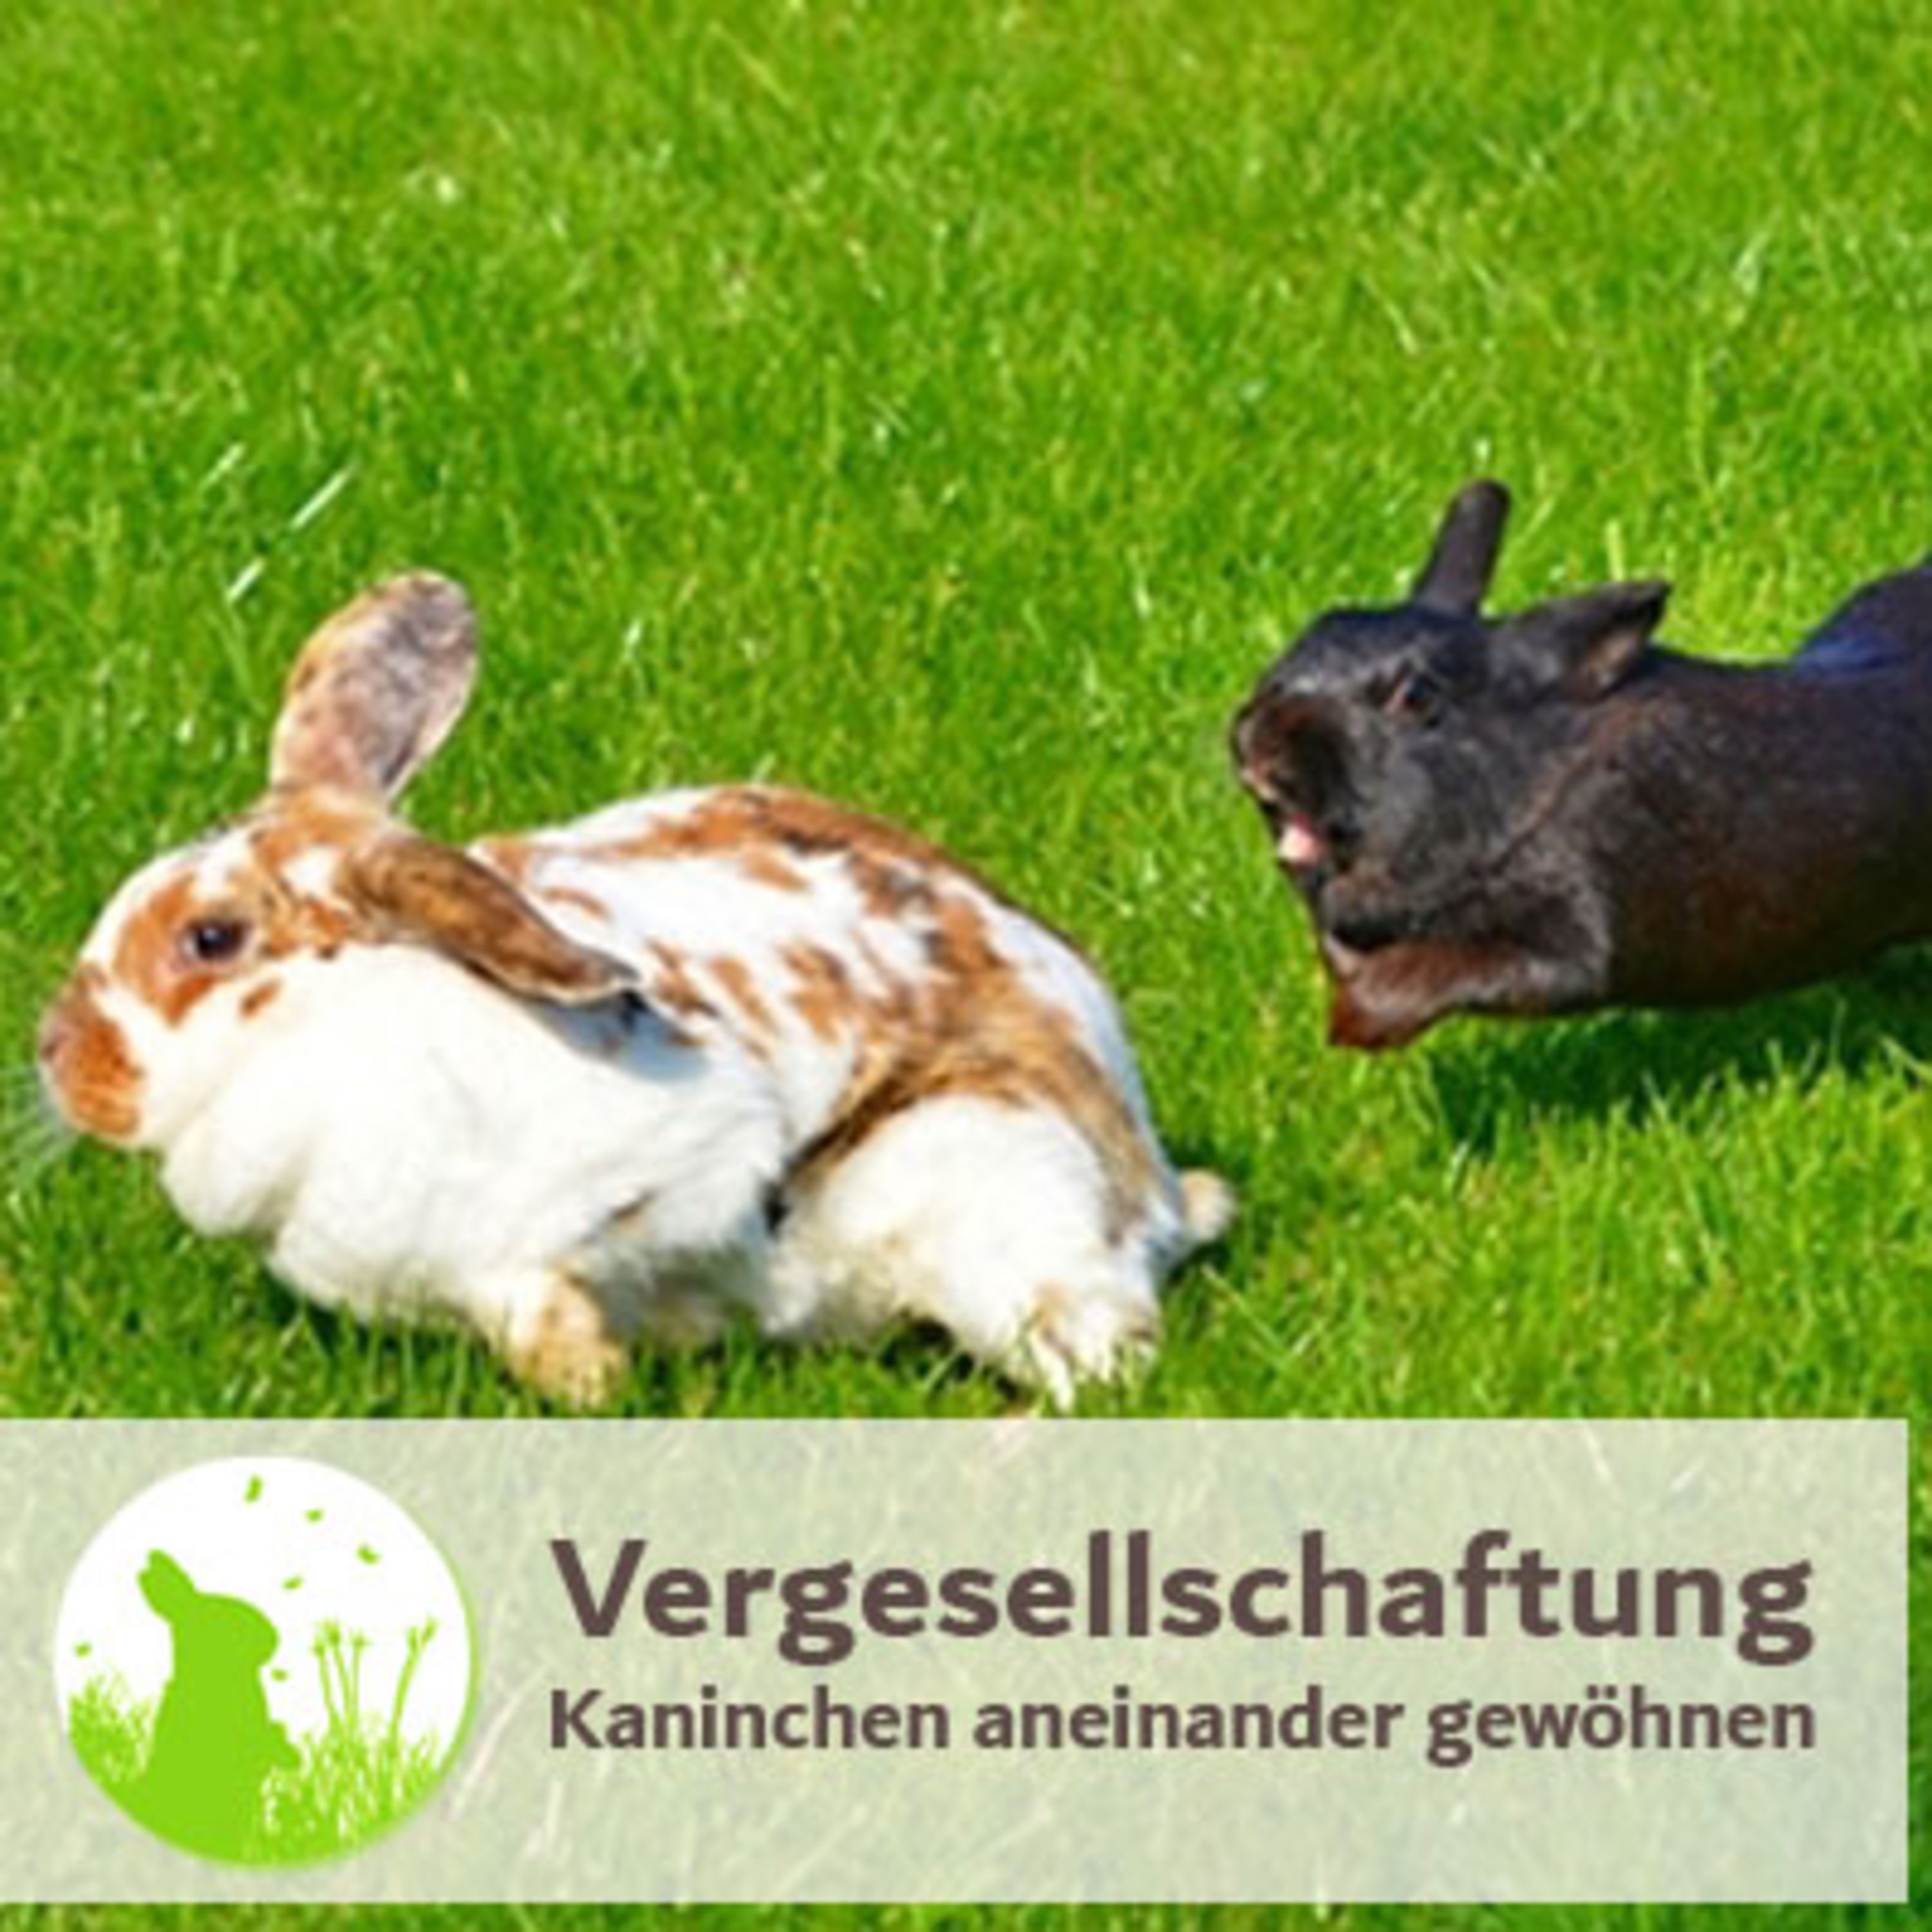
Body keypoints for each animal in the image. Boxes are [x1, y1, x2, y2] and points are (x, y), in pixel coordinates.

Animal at [37, 575, 1232, 1406]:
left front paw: (588, 1384)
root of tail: (1159, 1186)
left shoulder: (653, 1170)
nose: (59, 1055)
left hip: (1003, 1196)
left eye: (211, 938)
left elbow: (552, 1283)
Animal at [1231, 479, 1932, 1048]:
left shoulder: (1578, 930)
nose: (1254, 741)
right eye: (1314, 630)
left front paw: (1360, 1022)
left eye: (1417, 697)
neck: (1531, 772)